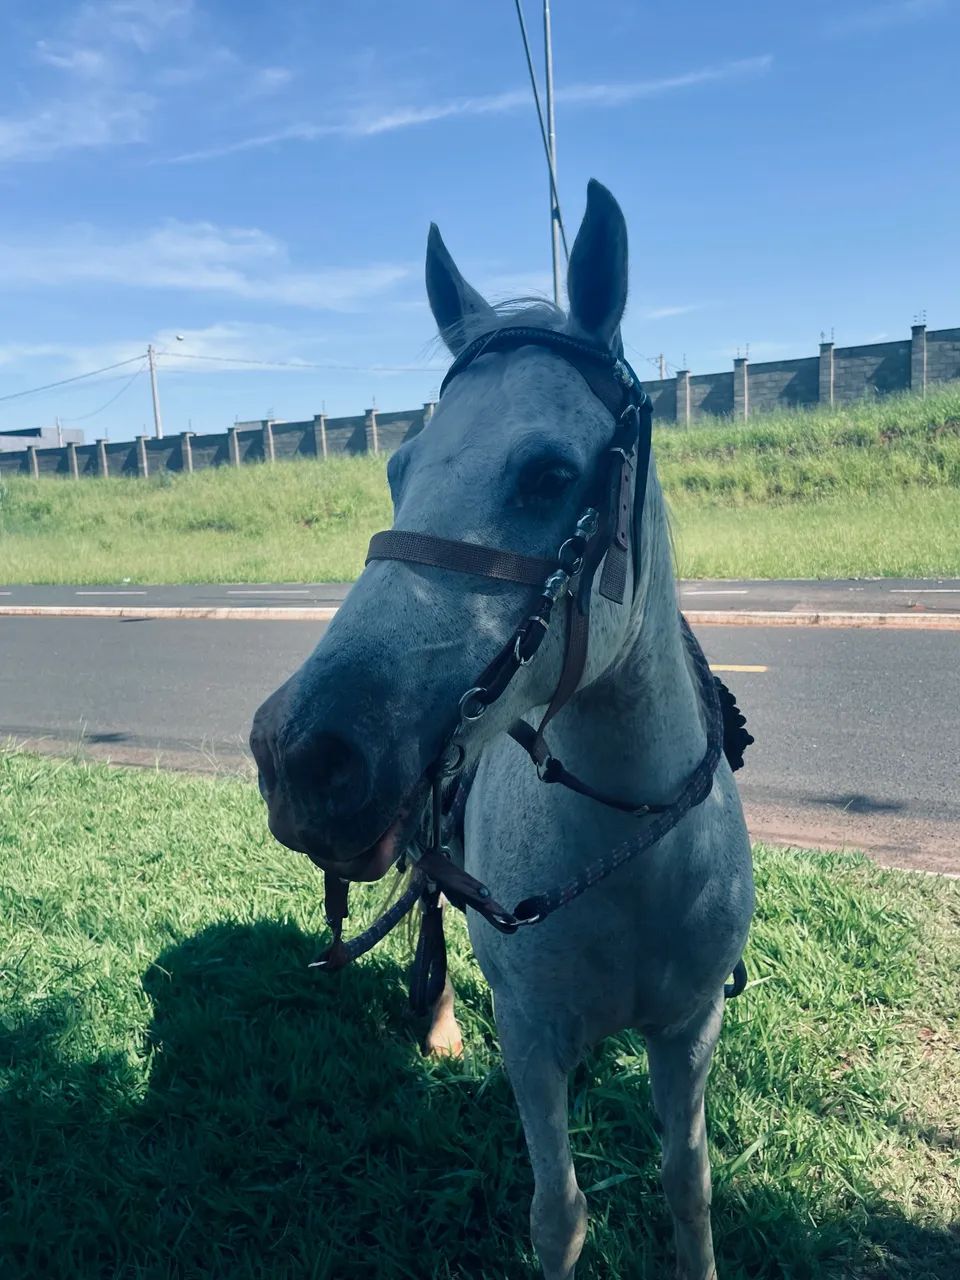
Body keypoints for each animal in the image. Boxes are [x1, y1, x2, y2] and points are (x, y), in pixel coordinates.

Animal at [250, 179, 754, 1280]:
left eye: (548, 475)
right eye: (399, 469)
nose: (302, 756)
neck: (625, 846)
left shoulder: (691, 1029)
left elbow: (687, 1186)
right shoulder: (532, 1036)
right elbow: (558, 1212)